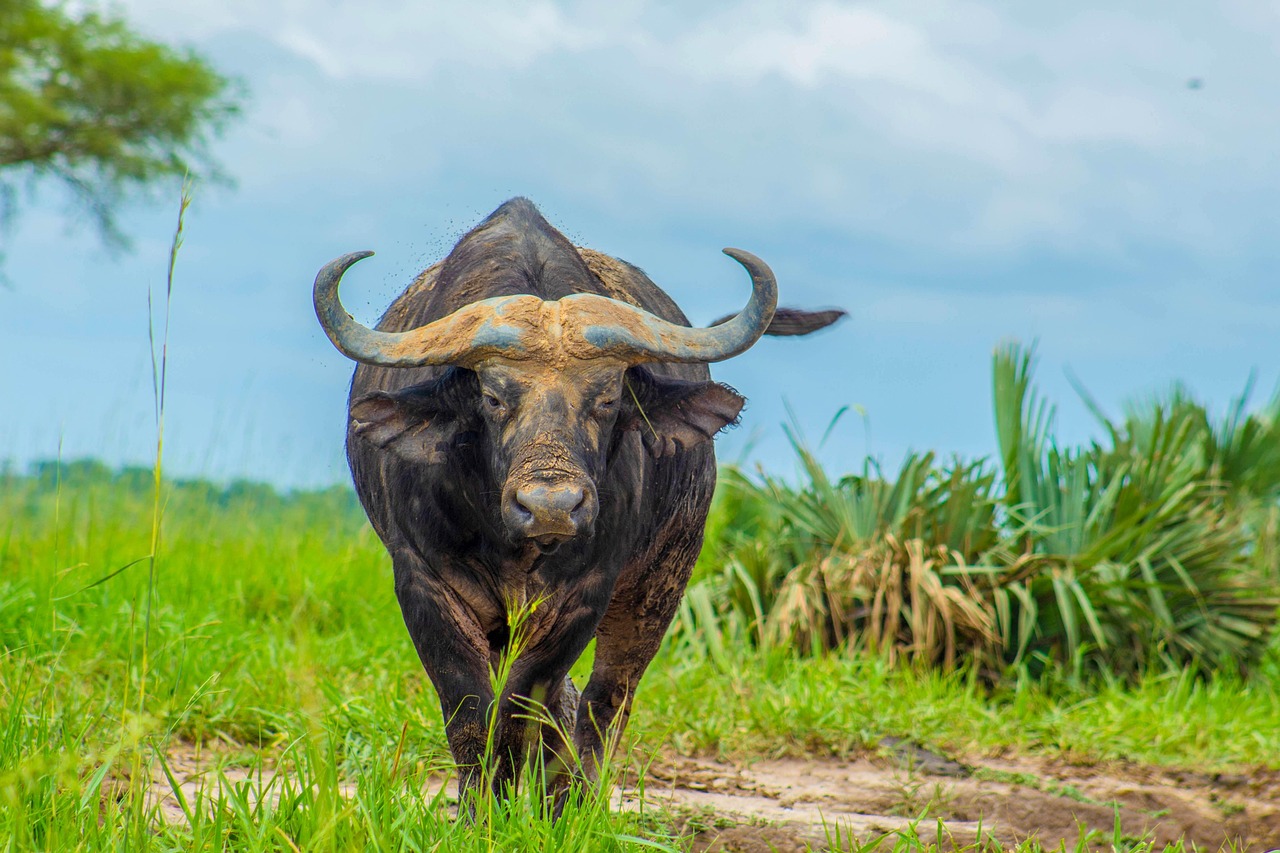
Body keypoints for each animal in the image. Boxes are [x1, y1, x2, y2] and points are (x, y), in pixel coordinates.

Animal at [313, 198, 841, 808]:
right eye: (492, 397)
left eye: (607, 398)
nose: (551, 506)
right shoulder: (423, 581)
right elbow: (470, 711)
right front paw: (481, 808)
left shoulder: (588, 589)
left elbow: (524, 702)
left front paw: (535, 800)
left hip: (664, 577)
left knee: (607, 696)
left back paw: (575, 797)